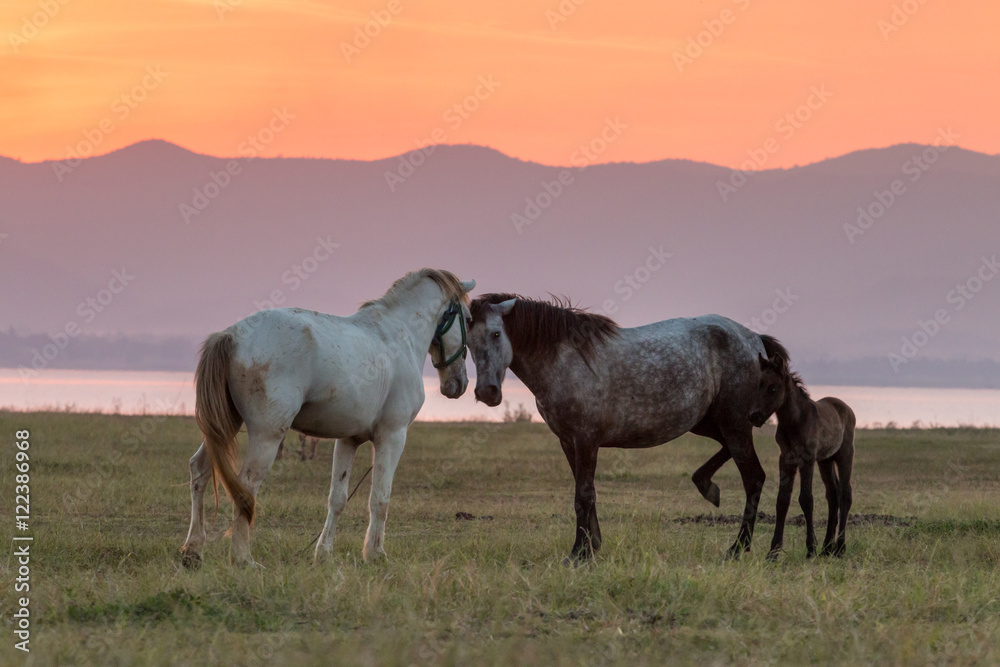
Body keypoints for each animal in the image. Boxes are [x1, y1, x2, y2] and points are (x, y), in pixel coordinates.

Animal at [180, 269, 475, 567]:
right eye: (468, 318)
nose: (458, 384)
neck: (398, 335)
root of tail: (231, 335)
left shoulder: (348, 440)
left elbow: (338, 499)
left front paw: (323, 553)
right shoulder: (392, 437)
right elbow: (380, 499)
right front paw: (375, 554)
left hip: (225, 426)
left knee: (200, 470)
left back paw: (193, 551)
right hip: (267, 436)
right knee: (246, 487)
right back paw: (242, 558)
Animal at [468, 294, 784, 562]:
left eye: (496, 333)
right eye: (468, 343)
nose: (487, 392)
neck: (564, 361)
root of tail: (755, 340)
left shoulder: (586, 439)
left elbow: (583, 495)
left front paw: (578, 554)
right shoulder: (568, 441)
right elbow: (587, 492)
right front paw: (592, 545)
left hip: (734, 424)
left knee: (754, 477)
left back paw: (738, 547)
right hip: (708, 423)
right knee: (728, 453)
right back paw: (708, 487)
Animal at [752, 352, 856, 558]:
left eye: (773, 387)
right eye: (758, 384)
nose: (754, 416)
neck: (795, 421)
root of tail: (847, 409)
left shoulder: (807, 460)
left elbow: (806, 499)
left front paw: (810, 549)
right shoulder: (786, 459)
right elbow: (782, 500)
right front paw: (773, 552)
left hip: (844, 455)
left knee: (845, 494)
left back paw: (839, 548)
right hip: (825, 461)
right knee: (833, 494)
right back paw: (826, 548)